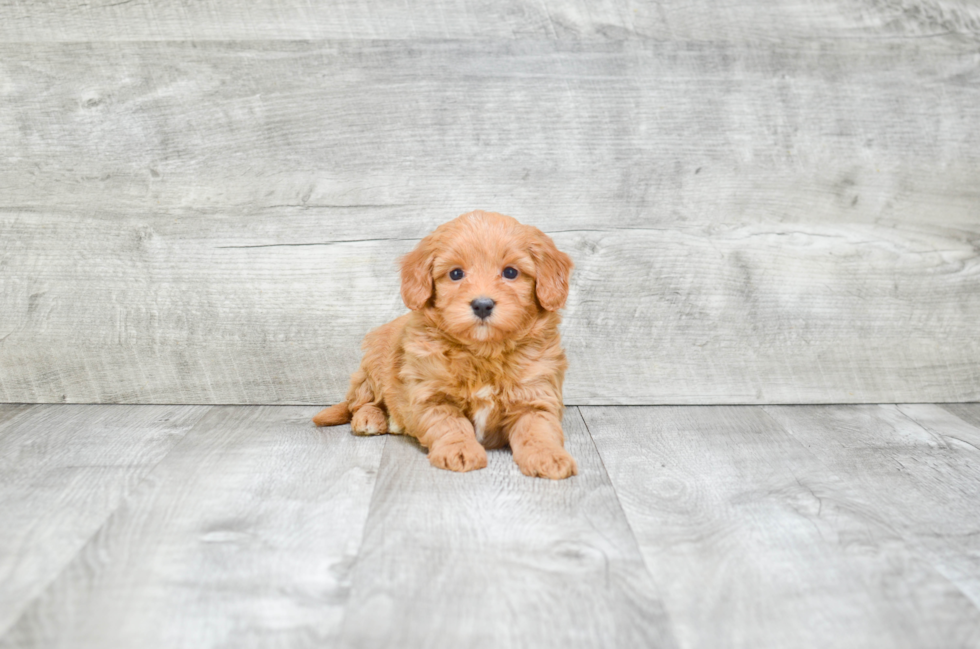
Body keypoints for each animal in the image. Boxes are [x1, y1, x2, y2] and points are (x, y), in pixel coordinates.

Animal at [310, 210, 580, 478]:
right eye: (456, 274)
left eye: (511, 272)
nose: (482, 305)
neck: (483, 352)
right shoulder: (432, 396)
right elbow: (451, 424)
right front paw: (459, 450)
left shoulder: (535, 395)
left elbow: (538, 429)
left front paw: (549, 456)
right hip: (373, 363)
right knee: (362, 401)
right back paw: (369, 420)